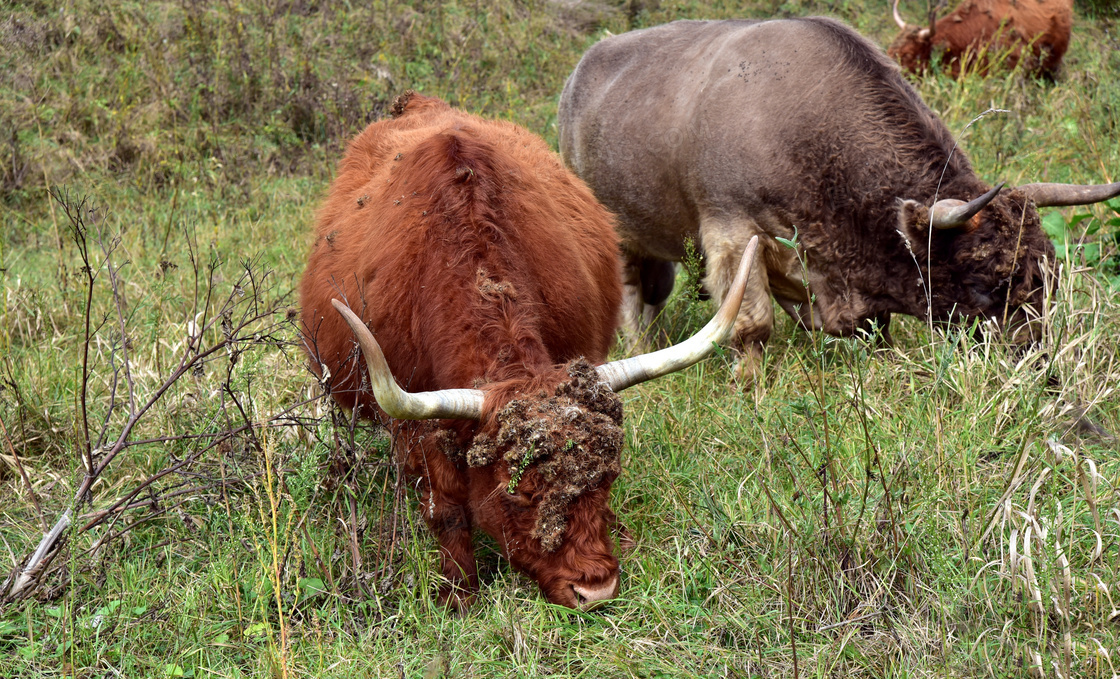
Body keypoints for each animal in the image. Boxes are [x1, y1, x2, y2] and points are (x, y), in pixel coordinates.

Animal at [300, 91, 752, 614]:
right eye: (518, 495)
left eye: (607, 478)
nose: (596, 590)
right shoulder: (416, 425)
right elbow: (446, 509)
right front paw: (459, 595)